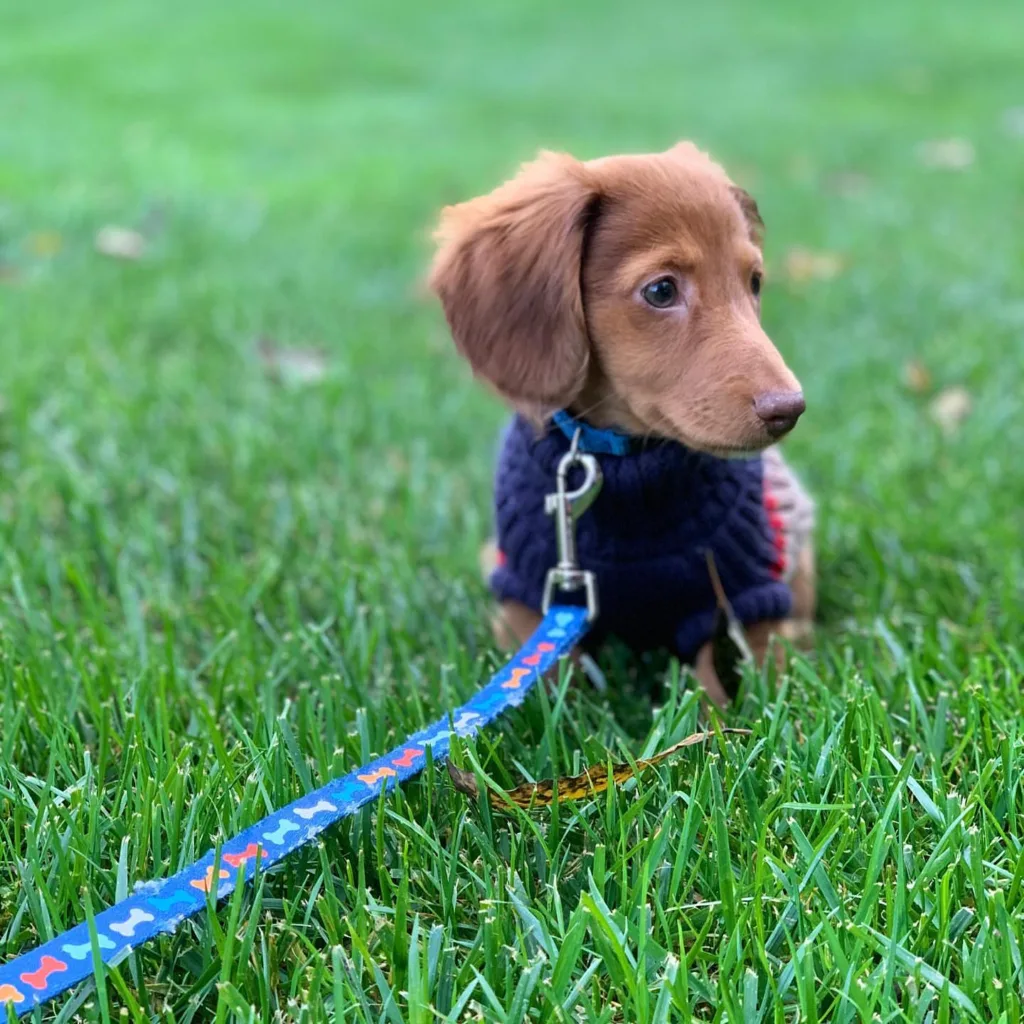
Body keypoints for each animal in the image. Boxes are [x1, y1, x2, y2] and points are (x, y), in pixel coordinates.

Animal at [428, 142, 811, 704]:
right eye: (661, 291)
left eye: (754, 282)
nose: (790, 408)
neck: (624, 468)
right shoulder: (528, 597)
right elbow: (544, 677)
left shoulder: (743, 590)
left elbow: (751, 672)